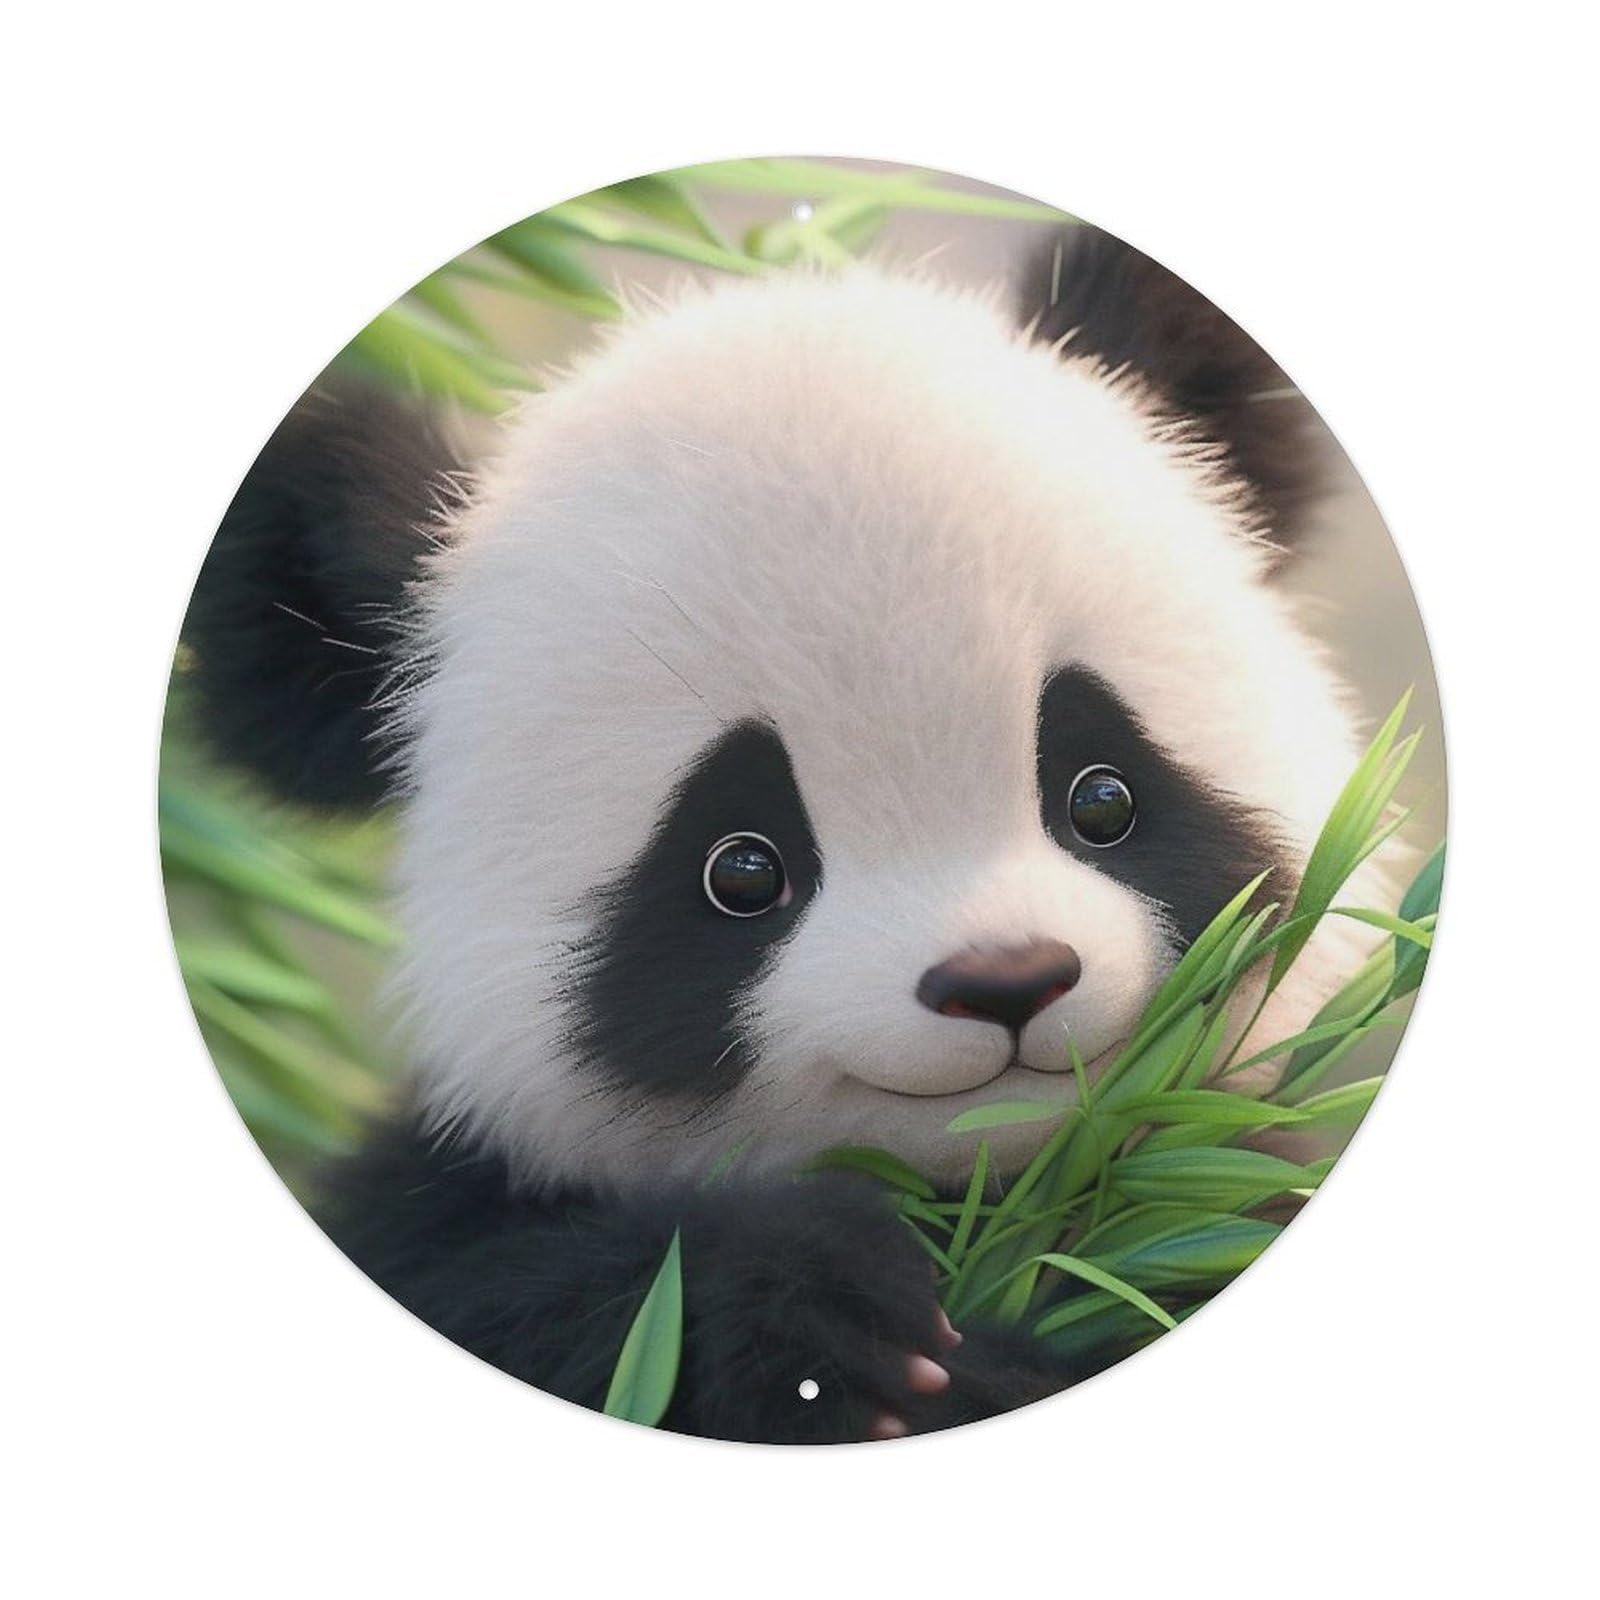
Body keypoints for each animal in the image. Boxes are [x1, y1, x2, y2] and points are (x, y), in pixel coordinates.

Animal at [182, 224, 1379, 1444]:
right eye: (742, 870)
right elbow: (553, 1299)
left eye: (1101, 799)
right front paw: (810, 1304)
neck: (980, 1195)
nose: (1003, 981)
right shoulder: (451, 1209)